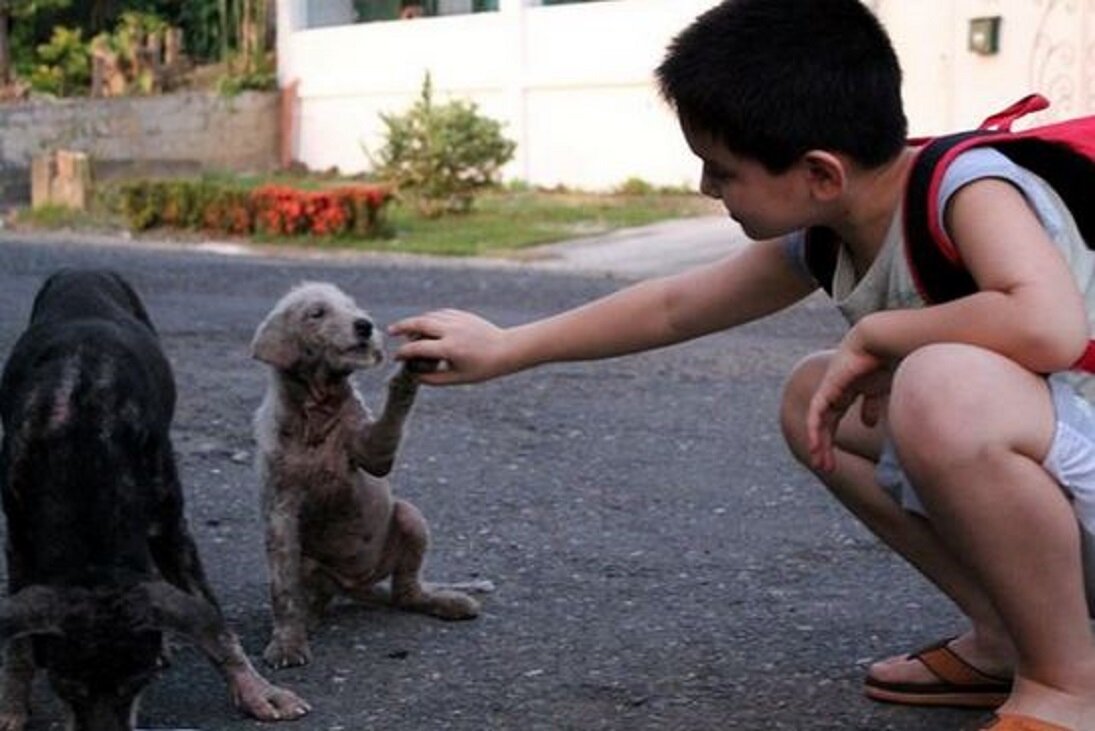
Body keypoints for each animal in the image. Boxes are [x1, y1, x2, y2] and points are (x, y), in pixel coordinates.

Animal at [0, 271, 310, 731]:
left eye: (137, 682)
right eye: (66, 684)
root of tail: (84, 269)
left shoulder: (171, 527)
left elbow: (214, 624)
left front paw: (257, 691)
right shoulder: (20, 534)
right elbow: (19, 640)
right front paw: (12, 702)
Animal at [254, 284, 490, 669]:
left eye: (352, 307)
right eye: (316, 313)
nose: (364, 325)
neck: (317, 410)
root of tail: (356, 584)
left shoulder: (374, 453)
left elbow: (390, 420)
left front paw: (413, 365)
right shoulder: (280, 510)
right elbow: (282, 586)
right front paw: (287, 642)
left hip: (410, 518)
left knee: (407, 591)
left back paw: (444, 601)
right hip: (313, 564)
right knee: (316, 595)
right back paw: (310, 617)